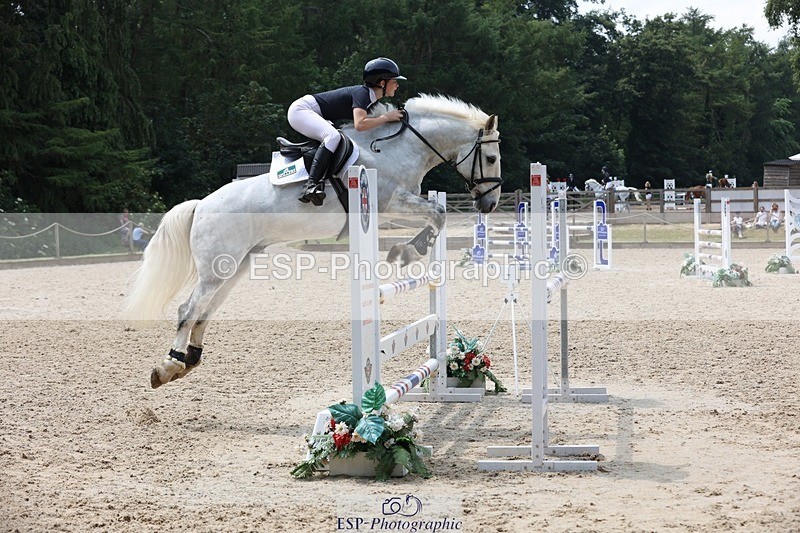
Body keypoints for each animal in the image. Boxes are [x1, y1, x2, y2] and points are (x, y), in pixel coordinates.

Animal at [122, 94, 503, 389]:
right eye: (492, 158)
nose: (490, 204)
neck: (399, 147)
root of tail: (200, 205)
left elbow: (436, 213)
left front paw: (412, 248)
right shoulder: (387, 202)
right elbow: (437, 213)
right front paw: (408, 250)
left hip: (235, 265)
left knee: (205, 311)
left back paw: (190, 360)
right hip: (217, 267)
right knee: (188, 310)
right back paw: (168, 366)